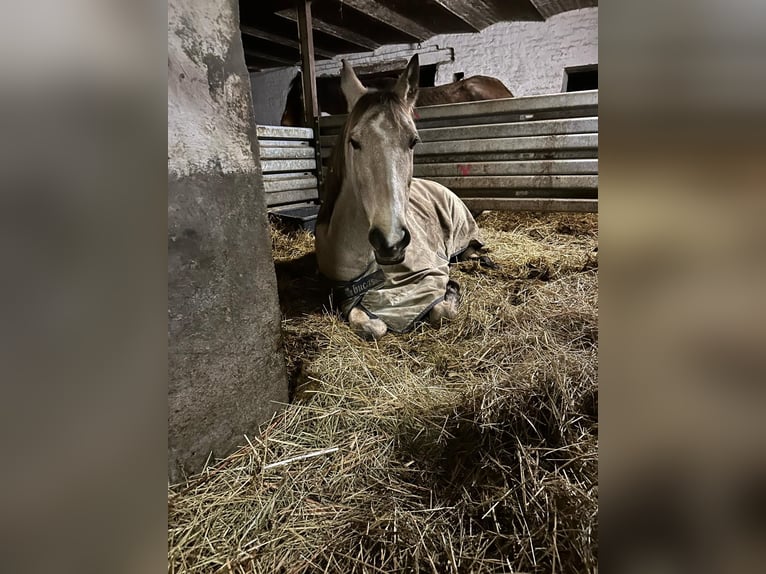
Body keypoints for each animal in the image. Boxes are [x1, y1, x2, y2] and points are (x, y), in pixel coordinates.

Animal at [316, 53, 492, 340]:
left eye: (413, 141)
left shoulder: (430, 274)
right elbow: (372, 326)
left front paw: (452, 291)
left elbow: (441, 311)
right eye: (354, 142)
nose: (391, 243)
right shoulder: (347, 296)